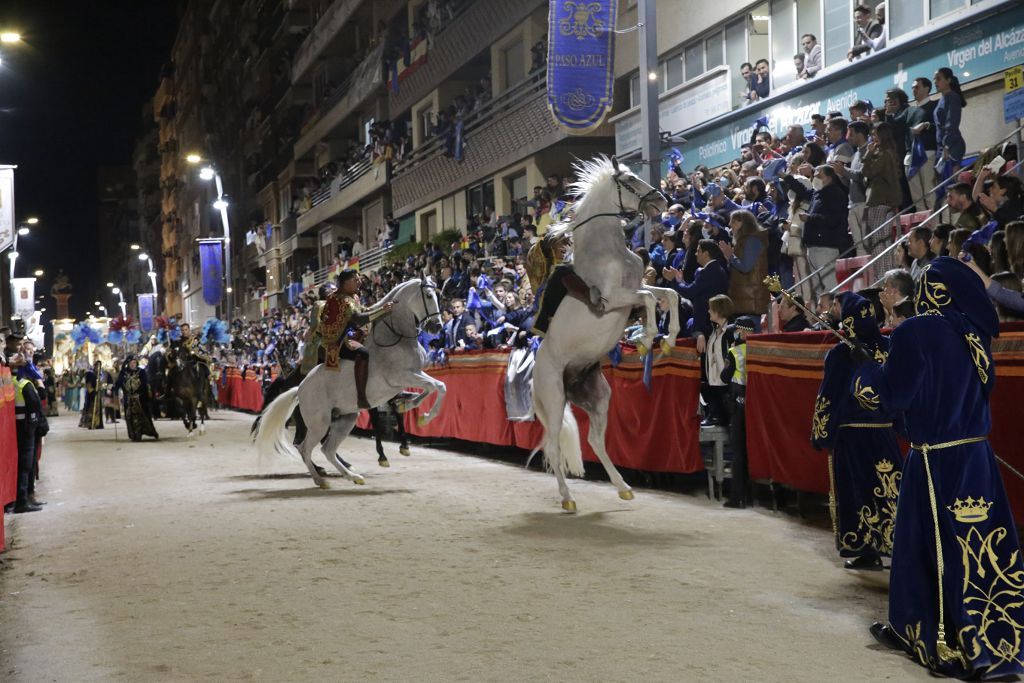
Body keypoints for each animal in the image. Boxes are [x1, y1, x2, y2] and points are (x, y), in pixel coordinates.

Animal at [254, 278, 444, 485]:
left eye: (438, 295)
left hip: (345, 419)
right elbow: (436, 386)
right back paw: (321, 479)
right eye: (428, 296)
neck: (395, 340)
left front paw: (409, 407)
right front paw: (425, 417)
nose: (437, 327)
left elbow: (435, 387)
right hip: (319, 423)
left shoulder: (414, 375)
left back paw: (352, 476)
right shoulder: (401, 377)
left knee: (327, 449)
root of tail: (299, 388)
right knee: (305, 447)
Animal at [536, 157, 679, 511]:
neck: (608, 252)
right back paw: (568, 498)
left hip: (599, 397)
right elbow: (652, 300)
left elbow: (668, 294)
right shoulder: (614, 299)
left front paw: (669, 341)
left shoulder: (635, 290)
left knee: (595, 440)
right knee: (554, 446)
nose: (662, 201)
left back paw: (623, 487)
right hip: (555, 398)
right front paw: (645, 341)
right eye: (629, 181)